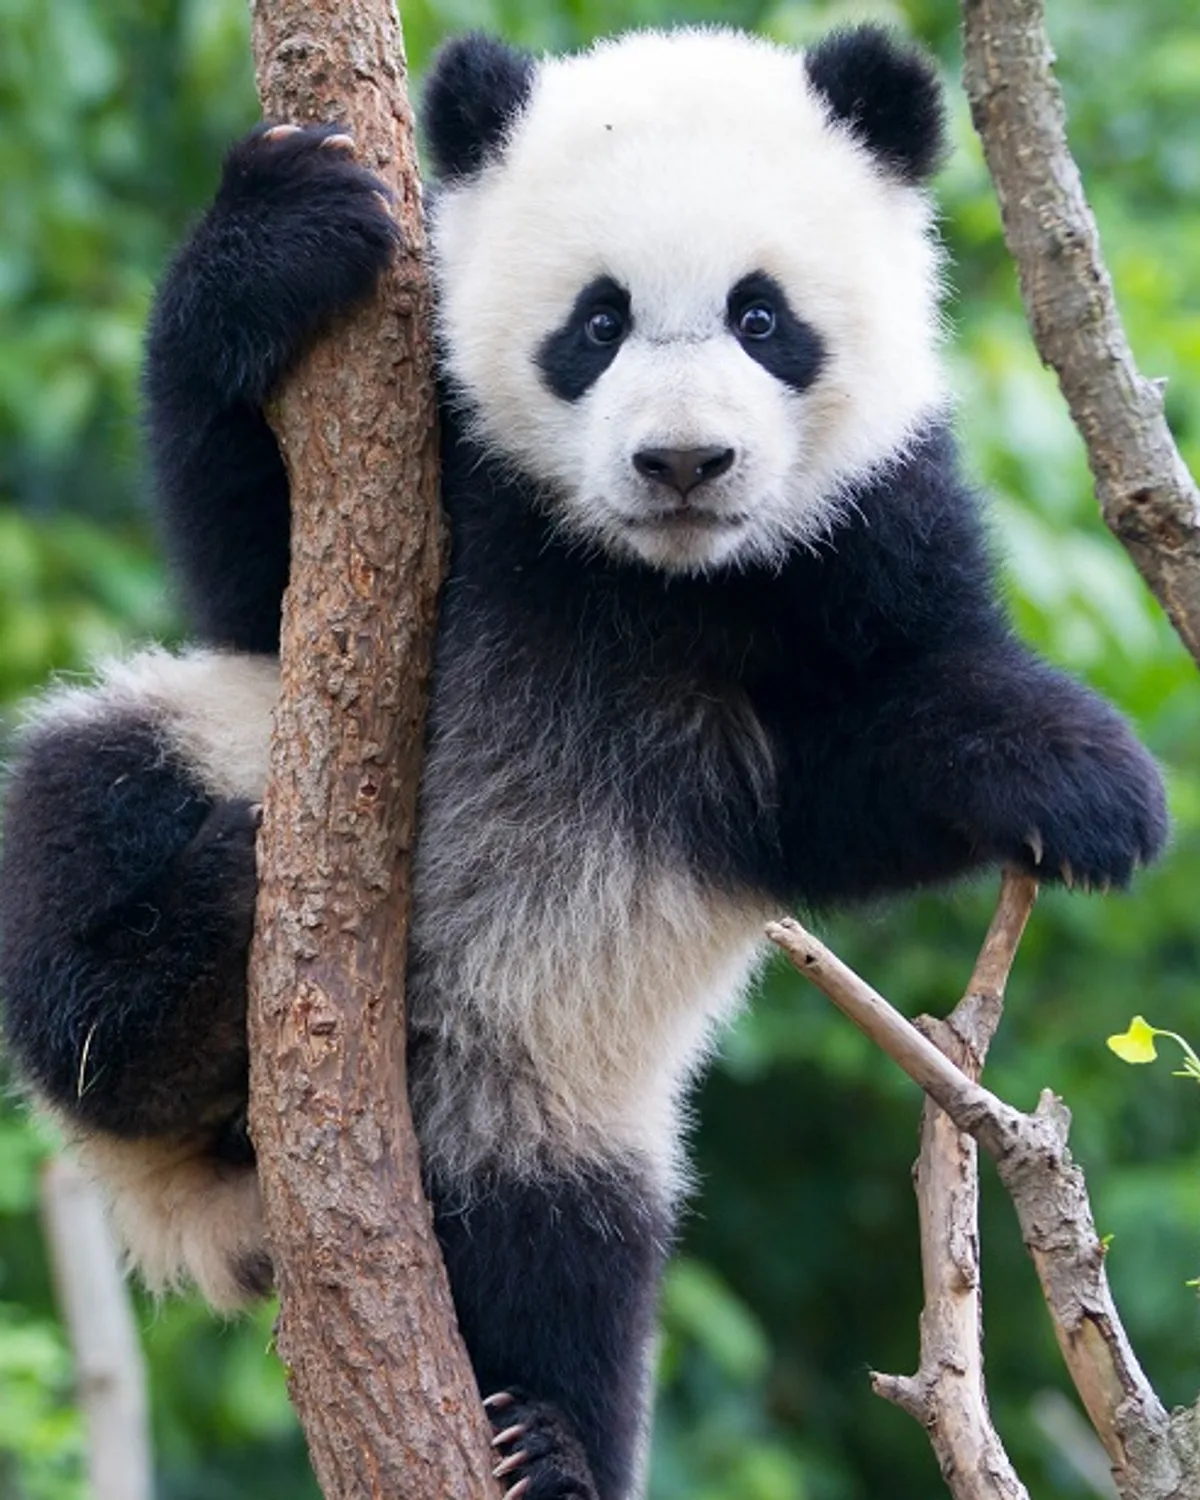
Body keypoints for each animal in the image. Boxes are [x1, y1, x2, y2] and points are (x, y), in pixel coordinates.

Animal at [0, 24, 1168, 1500]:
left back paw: (545, 1439)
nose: (683, 463)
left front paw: (1088, 784)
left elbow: (853, 779)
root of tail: (221, 1177)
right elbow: (246, 563)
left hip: (551, 1097)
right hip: (192, 750)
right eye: (596, 323)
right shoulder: (431, 473)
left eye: (762, 318)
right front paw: (281, 228)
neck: (644, 577)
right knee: (77, 839)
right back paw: (182, 965)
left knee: (566, 1259)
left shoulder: (864, 534)